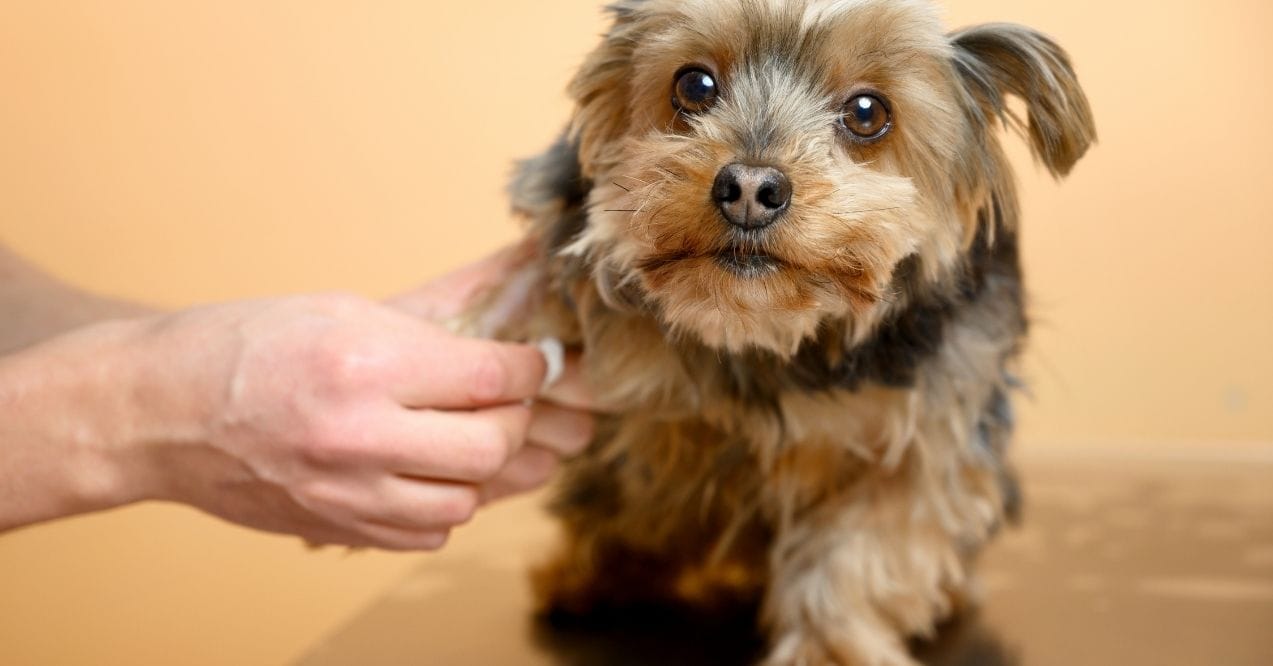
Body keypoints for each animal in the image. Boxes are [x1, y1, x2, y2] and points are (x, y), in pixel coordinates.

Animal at [468, 2, 1094, 662]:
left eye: (867, 113)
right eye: (694, 85)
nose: (749, 186)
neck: (763, 330)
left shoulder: (929, 432)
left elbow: (859, 556)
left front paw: (828, 649)